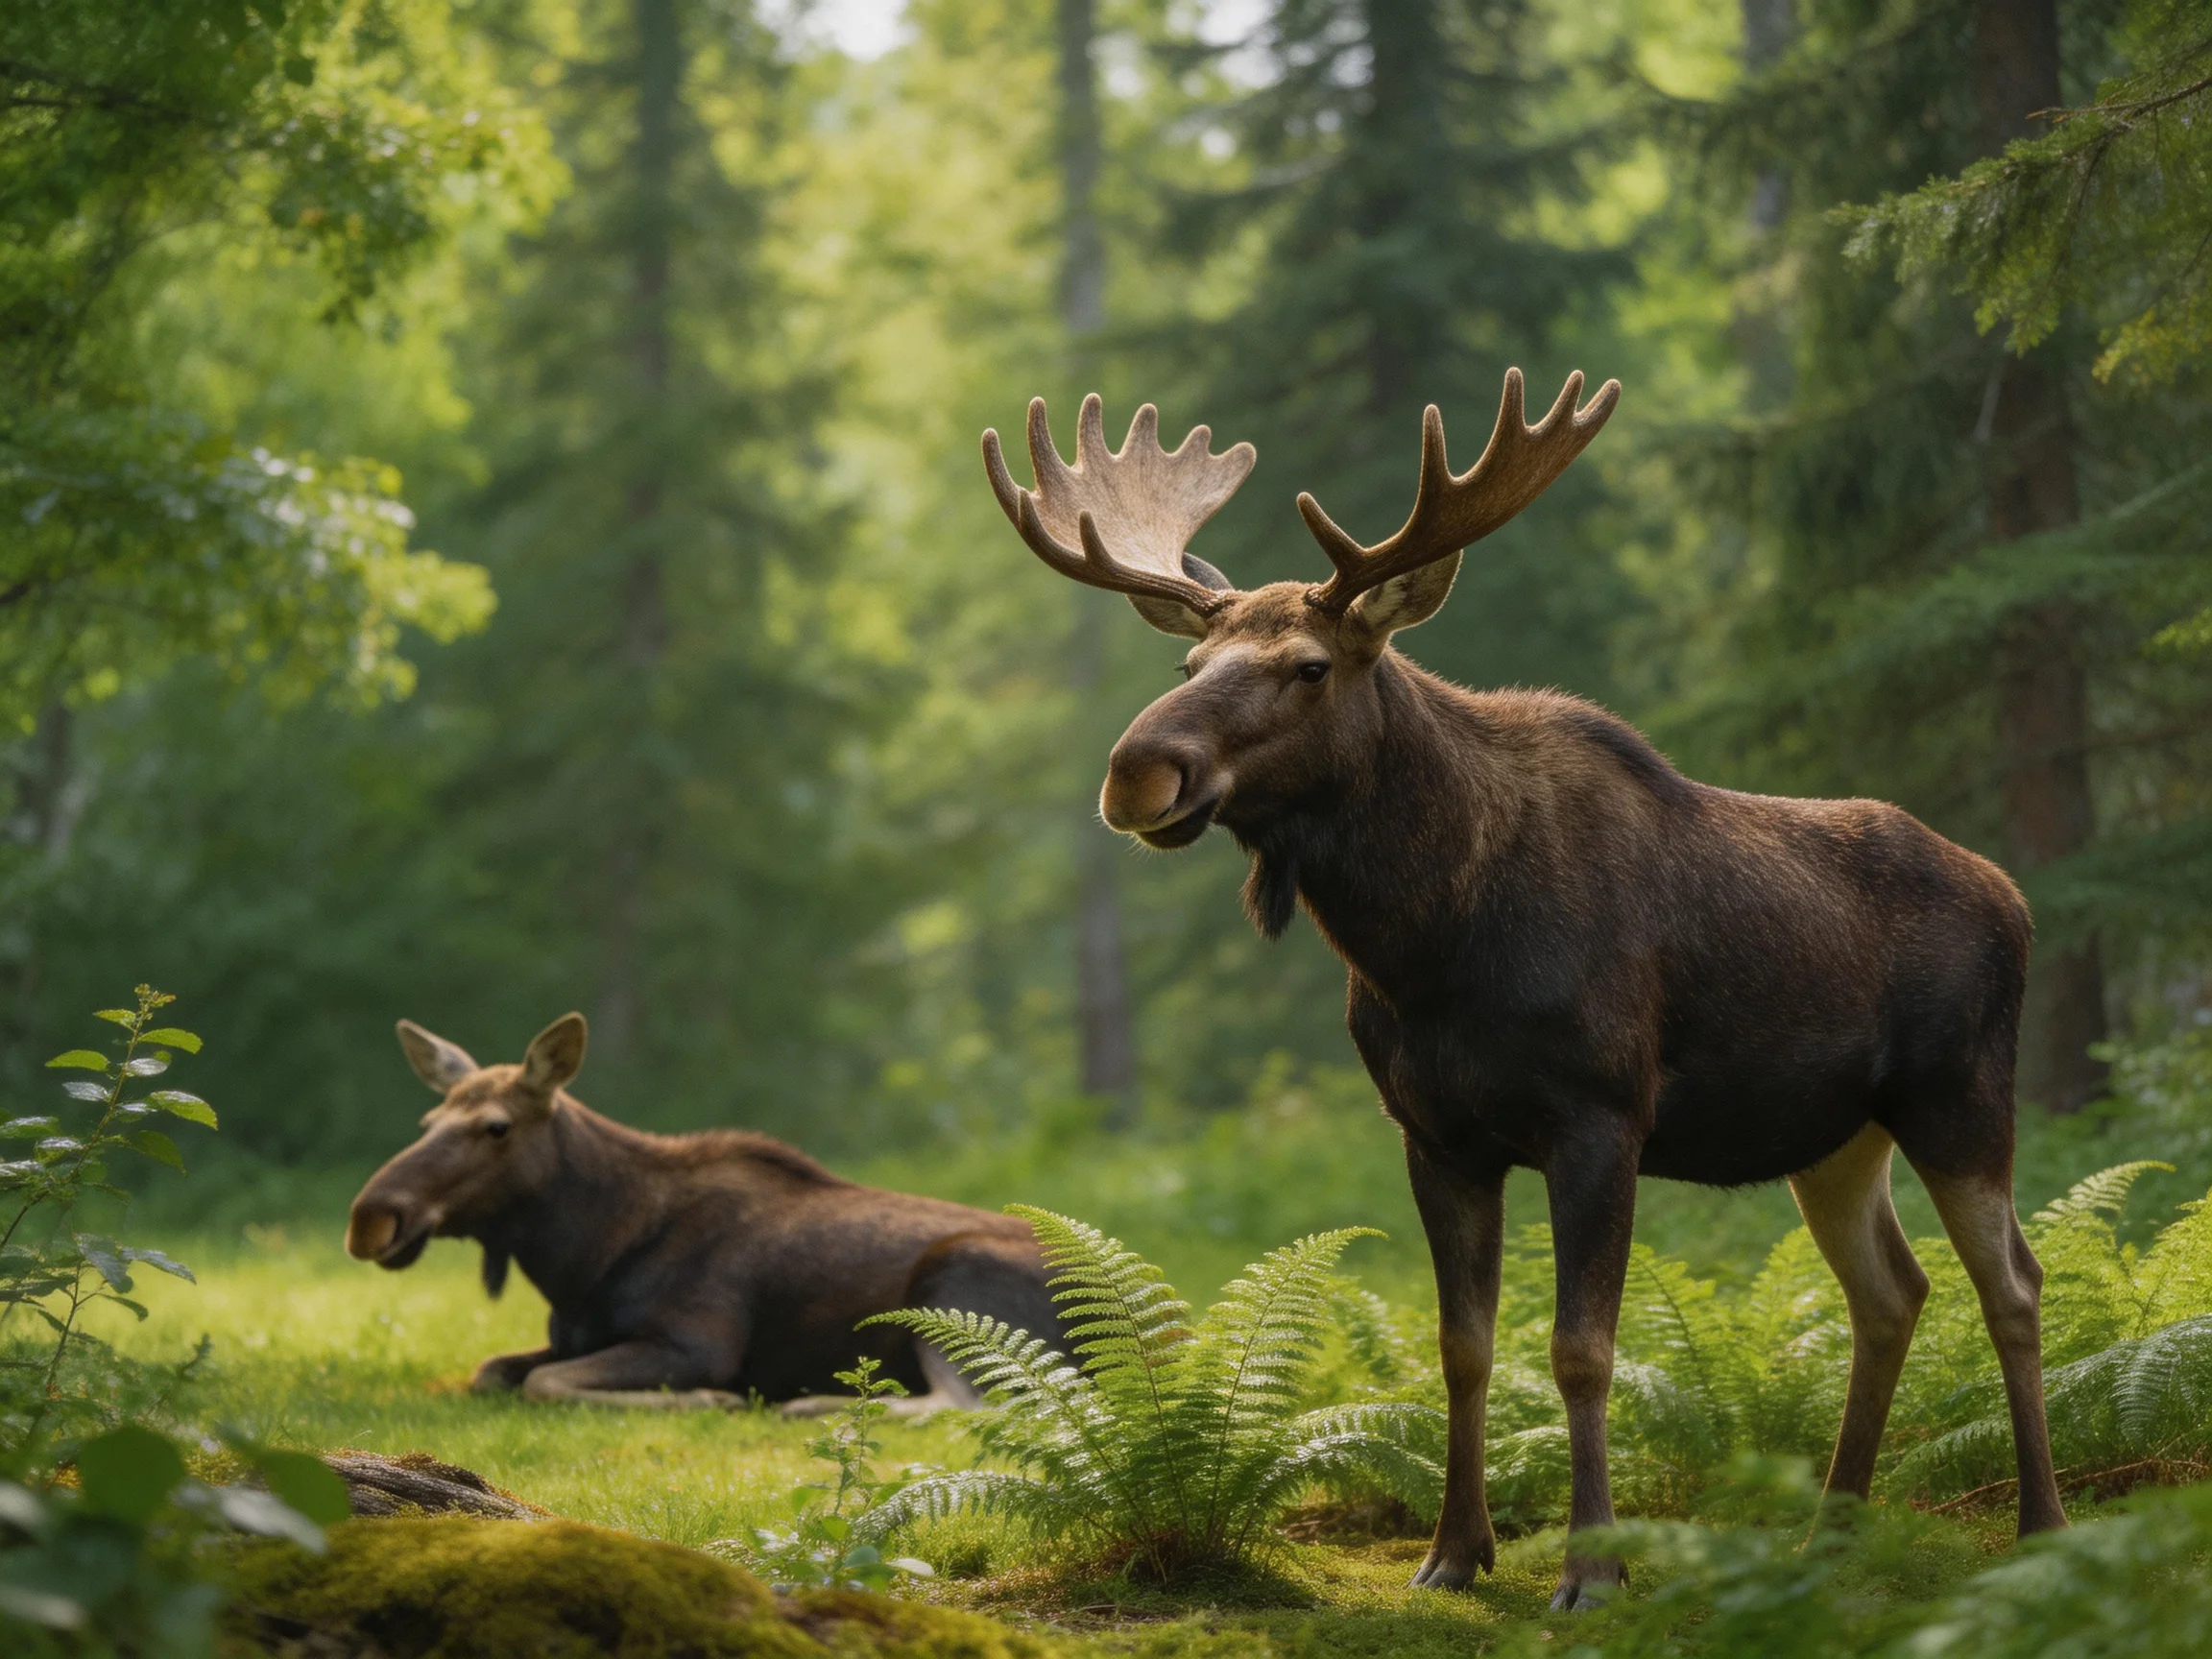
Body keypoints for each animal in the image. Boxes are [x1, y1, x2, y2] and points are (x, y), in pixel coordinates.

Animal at [982, 374, 2066, 1609]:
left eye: (1309, 664)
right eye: (1187, 669)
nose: (1136, 771)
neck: (1429, 946)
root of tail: (2015, 901)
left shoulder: (1600, 1116)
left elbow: (1581, 1350)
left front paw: (1595, 1569)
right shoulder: (1435, 1134)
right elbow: (1464, 1347)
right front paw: (1454, 1553)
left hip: (1961, 1096)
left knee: (2014, 1283)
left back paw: (2041, 1527)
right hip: (1837, 1138)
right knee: (1892, 1293)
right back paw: (1828, 1536)